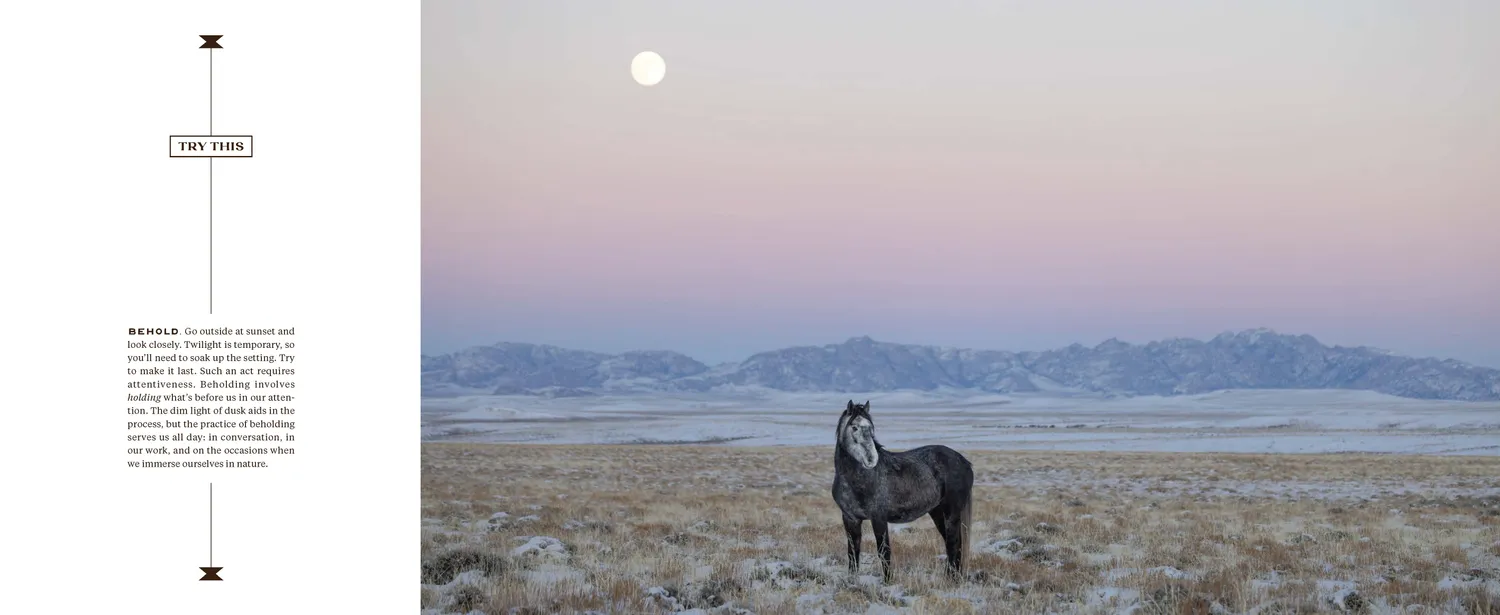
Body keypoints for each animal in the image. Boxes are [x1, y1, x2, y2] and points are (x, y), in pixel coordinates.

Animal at [831, 400, 974, 582]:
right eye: (854, 427)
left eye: (871, 428)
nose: (872, 459)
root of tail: (964, 461)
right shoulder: (850, 519)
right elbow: (853, 552)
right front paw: (852, 580)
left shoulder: (878, 518)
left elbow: (884, 551)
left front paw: (887, 582)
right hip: (937, 512)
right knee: (953, 543)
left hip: (951, 513)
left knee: (953, 543)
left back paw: (952, 579)